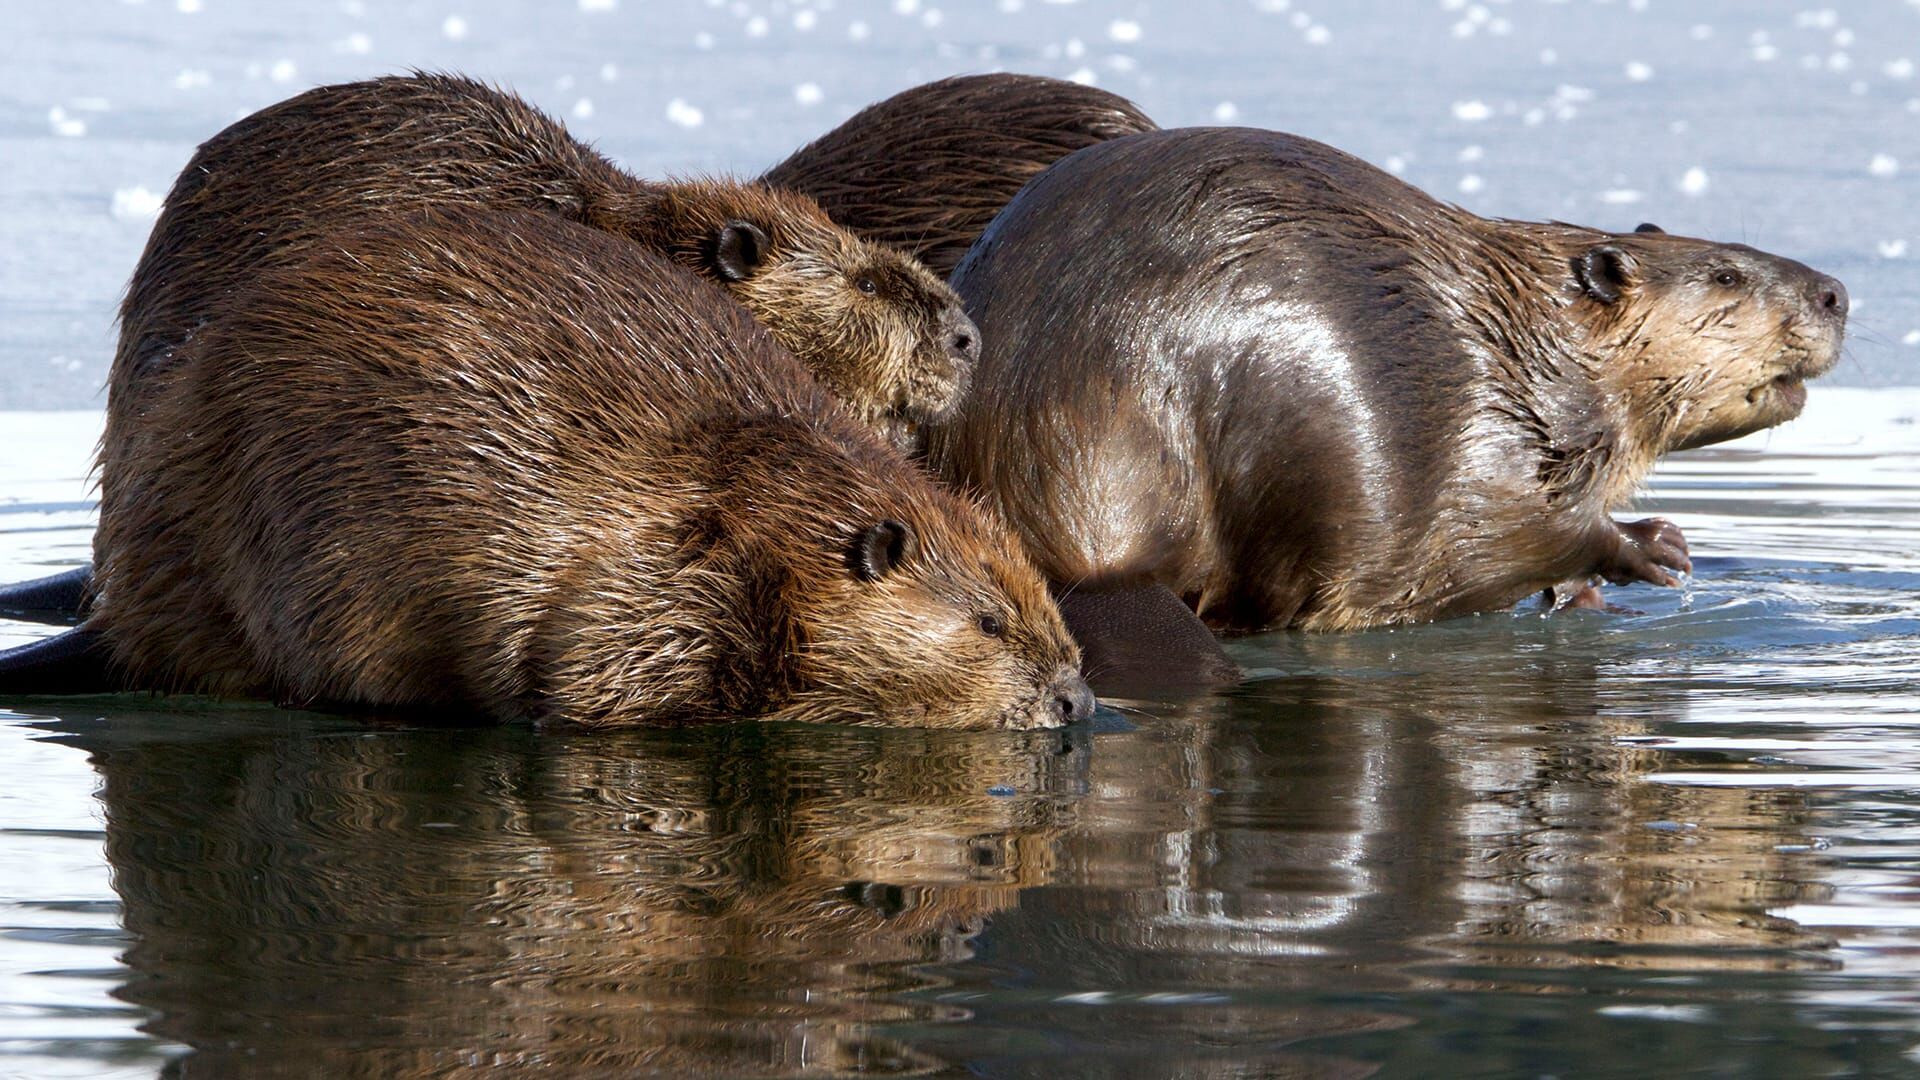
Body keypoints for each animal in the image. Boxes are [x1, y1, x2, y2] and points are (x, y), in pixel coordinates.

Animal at [3, 204, 1098, 722]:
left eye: (1047, 613)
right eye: (987, 624)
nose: (1076, 702)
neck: (760, 499)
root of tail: (125, 613)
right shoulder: (652, 575)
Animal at [929, 125, 1843, 630]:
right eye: (1726, 275)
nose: (1835, 292)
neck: (1524, 342)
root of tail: (1096, 565)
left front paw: (1589, 598)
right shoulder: (1488, 435)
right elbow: (1510, 528)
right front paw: (1657, 547)